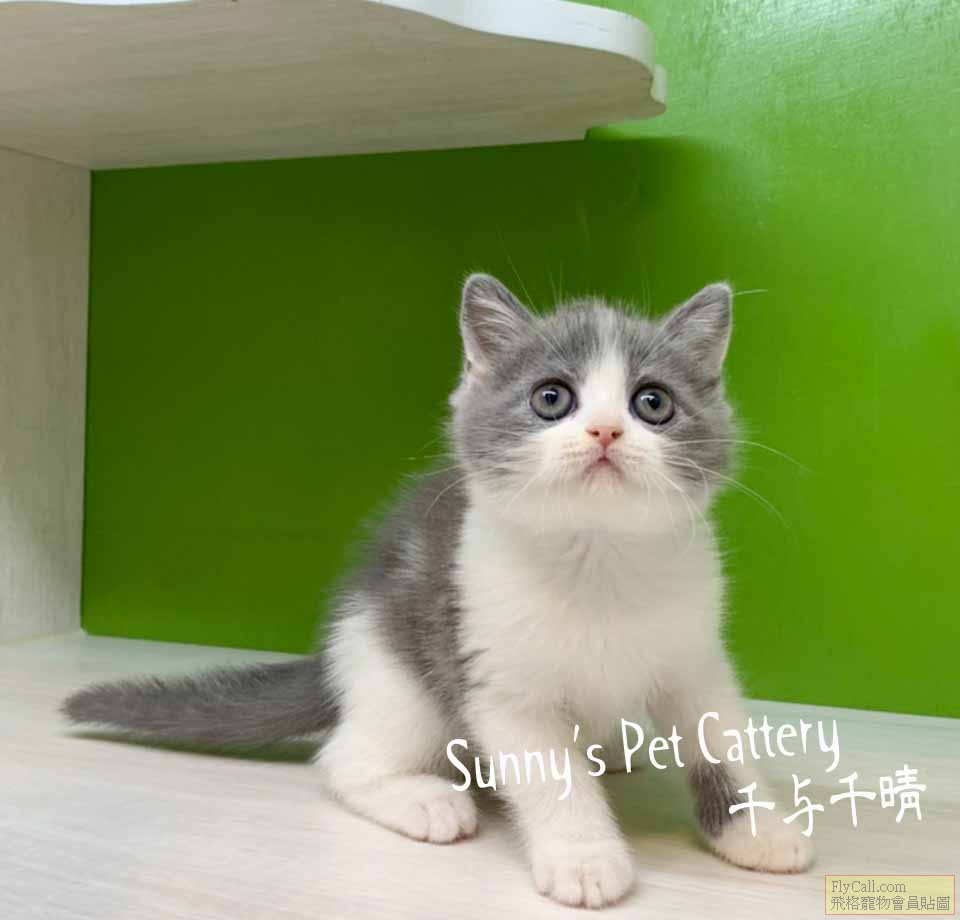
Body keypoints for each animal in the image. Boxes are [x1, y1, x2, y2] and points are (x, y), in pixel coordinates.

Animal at [64, 274, 812, 908]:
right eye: (551, 398)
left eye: (652, 403)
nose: (605, 431)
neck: (596, 558)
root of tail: (336, 662)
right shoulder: (494, 676)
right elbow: (551, 774)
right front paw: (583, 856)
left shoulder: (695, 657)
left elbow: (724, 748)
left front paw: (760, 830)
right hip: (401, 679)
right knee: (344, 758)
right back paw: (425, 800)